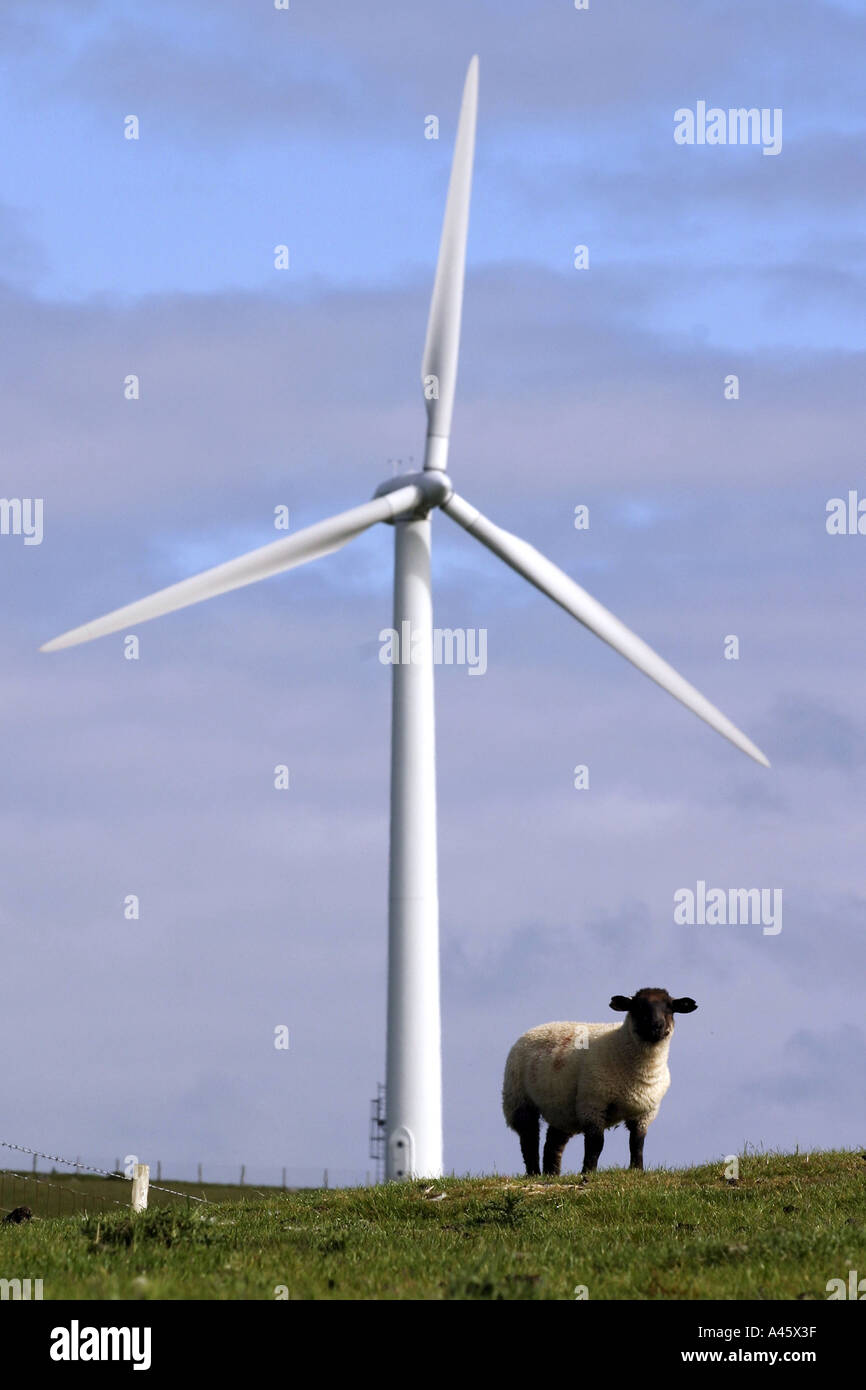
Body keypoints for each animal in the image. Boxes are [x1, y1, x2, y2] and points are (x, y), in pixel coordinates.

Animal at [502, 987, 697, 1175]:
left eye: (670, 1008)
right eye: (638, 1007)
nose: (656, 1026)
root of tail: (536, 1028)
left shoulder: (645, 1112)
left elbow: (637, 1142)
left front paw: (636, 1169)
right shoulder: (593, 1103)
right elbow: (596, 1143)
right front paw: (588, 1171)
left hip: (562, 1109)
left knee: (552, 1144)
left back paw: (551, 1174)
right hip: (519, 1101)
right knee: (529, 1139)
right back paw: (534, 1173)